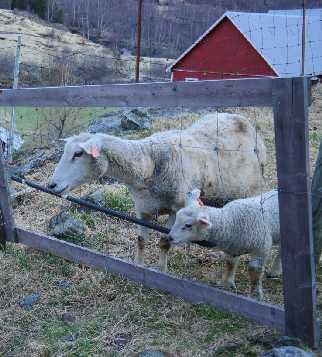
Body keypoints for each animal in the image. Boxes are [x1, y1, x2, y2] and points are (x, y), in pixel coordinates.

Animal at [48, 112, 266, 272]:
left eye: (78, 154)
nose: (52, 185)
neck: (148, 162)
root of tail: (241, 118)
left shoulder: (177, 209)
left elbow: (164, 242)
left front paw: (161, 271)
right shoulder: (142, 208)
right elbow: (141, 240)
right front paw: (138, 265)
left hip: (250, 191)